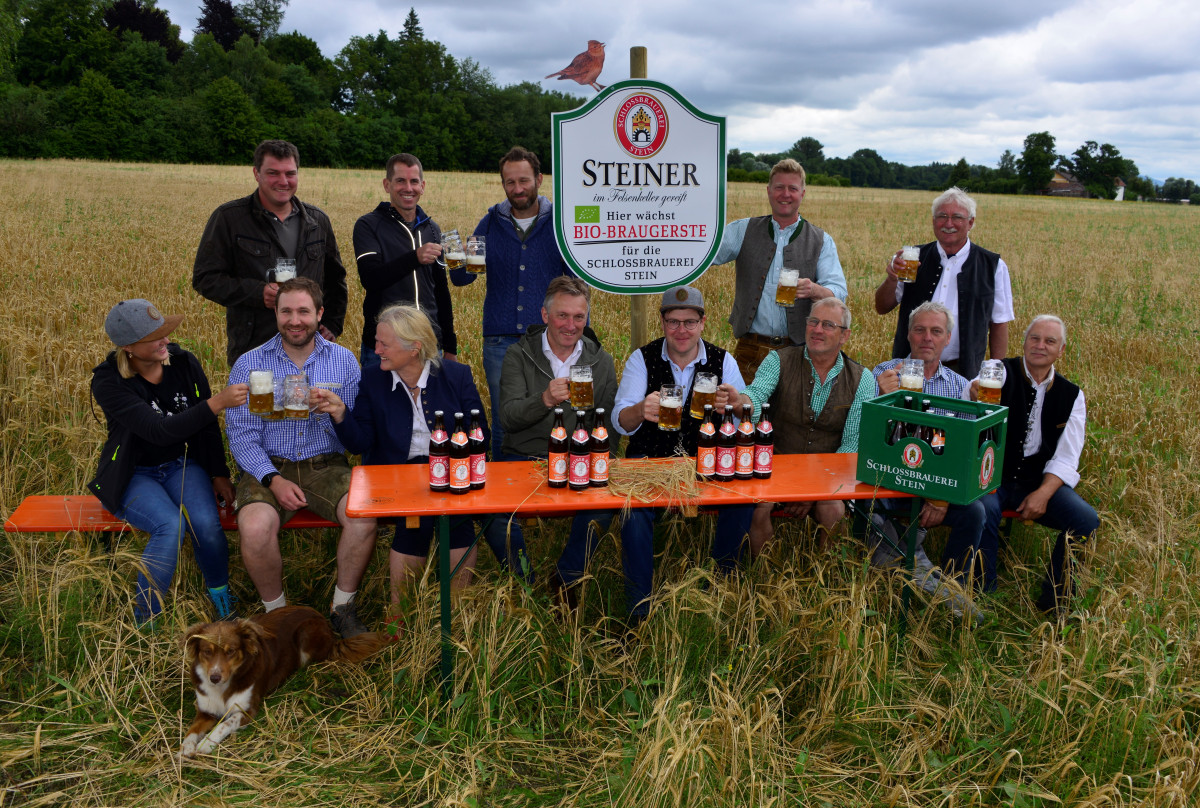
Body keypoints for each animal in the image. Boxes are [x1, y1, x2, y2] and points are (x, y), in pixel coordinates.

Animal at [180, 605, 386, 758]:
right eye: (207, 651)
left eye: (231, 651)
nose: (214, 677)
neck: (223, 688)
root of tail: (321, 618)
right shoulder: (205, 711)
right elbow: (192, 730)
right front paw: (186, 748)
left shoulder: (247, 711)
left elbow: (225, 723)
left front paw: (206, 743)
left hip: (306, 636)